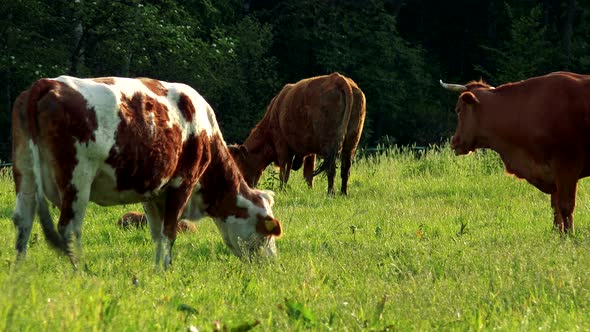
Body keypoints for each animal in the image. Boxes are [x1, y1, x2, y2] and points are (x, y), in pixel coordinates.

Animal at [11, 75, 284, 268]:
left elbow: (157, 234)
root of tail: (46, 84)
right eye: (267, 232)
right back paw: (82, 273)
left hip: (25, 174)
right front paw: (166, 269)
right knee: (69, 228)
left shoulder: (153, 194)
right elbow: (169, 232)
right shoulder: (182, 183)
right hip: (77, 179)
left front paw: (157, 270)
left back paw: (19, 272)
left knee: (23, 221)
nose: (272, 262)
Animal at [230, 72, 366, 195]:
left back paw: (330, 193)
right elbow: (308, 174)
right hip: (352, 140)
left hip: (329, 143)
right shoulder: (309, 150)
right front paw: (310, 190)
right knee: (345, 168)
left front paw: (282, 190)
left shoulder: (282, 145)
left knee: (331, 168)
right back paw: (343, 193)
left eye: (238, 165)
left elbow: (284, 171)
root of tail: (339, 78)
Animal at [442, 72, 590, 233]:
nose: (454, 142)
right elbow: (555, 207)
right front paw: (558, 232)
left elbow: (565, 206)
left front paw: (569, 235)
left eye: (458, 109)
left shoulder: (566, 165)